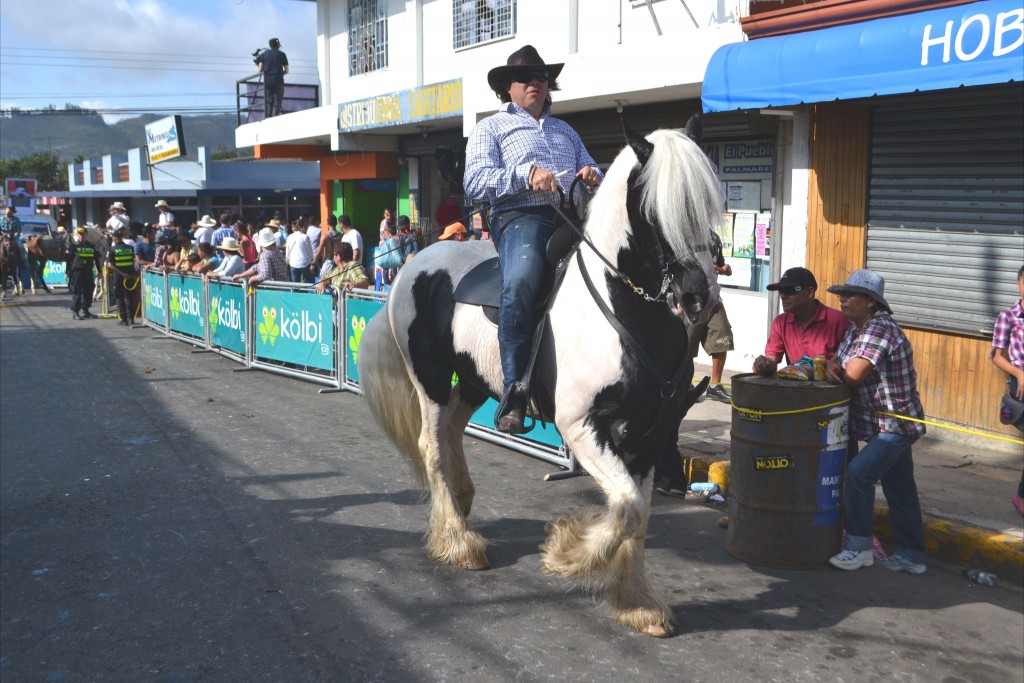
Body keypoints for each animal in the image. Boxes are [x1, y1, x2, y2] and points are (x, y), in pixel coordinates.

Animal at [356, 120, 724, 638]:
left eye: (707, 201)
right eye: (654, 206)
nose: (698, 298)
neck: (624, 310)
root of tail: (412, 265)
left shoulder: (648, 435)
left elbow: (639, 514)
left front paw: (637, 603)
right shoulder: (581, 426)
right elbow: (627, 505)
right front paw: (567, 553)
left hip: (475, 382)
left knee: (452, 430)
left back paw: (462, 505)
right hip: (429, 378)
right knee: (432, 446)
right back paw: (459, 541)